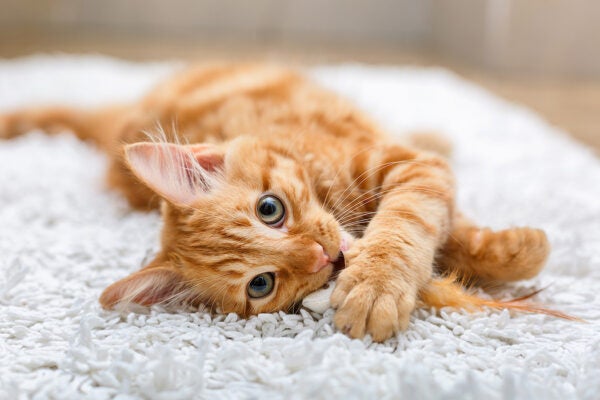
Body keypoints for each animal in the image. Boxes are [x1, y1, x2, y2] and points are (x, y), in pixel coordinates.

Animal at [0, 62, 556, 340]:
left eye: (270, 209)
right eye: (261, 284)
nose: (322, 257)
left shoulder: (408, 165)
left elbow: (410, 221)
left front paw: (377, 282)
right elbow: (443, 230)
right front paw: (515, 253)